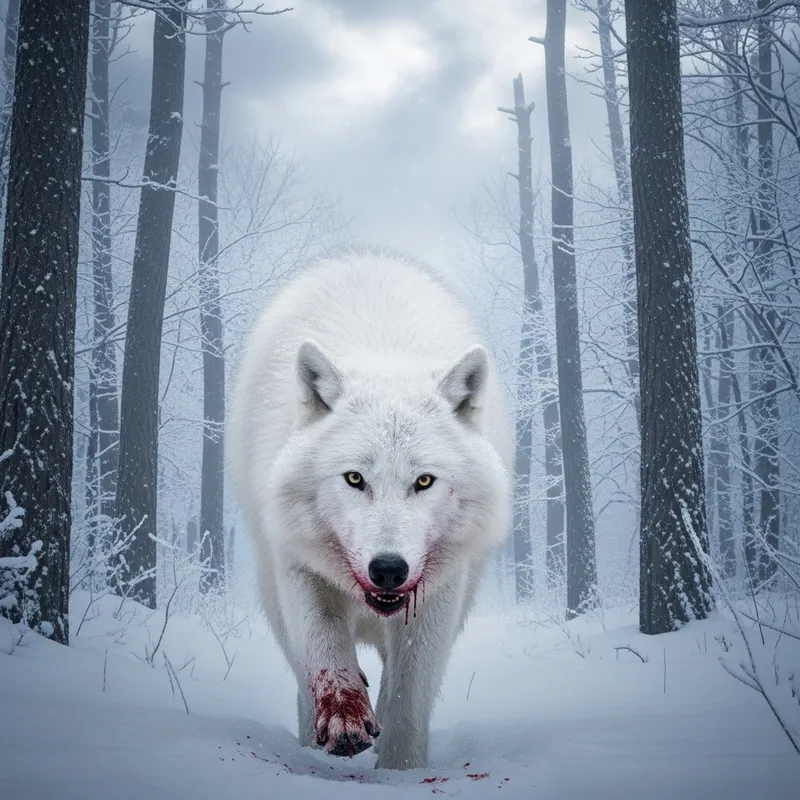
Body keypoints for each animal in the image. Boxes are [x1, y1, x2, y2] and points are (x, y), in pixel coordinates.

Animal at [228, 248, 513, 770]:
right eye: (355, 479)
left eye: (424, 481)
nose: (388, 569)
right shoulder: (296, 562)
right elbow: (323, 646)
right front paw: (343, 718)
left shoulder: (439, 594)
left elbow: (407, 697)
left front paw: (400, 771)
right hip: (272, 594)